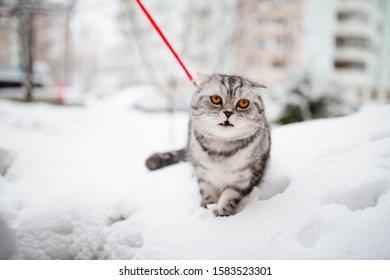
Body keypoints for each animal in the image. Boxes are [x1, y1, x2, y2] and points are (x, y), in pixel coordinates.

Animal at [146, 73, 272, 215]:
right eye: (216, 99)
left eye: (243, 103)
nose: (228, 112)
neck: (221, 150)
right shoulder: (204, 174)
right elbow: (207, 193)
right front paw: (207, 207)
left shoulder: (245, 178)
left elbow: (230, 196)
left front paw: (222, 212)